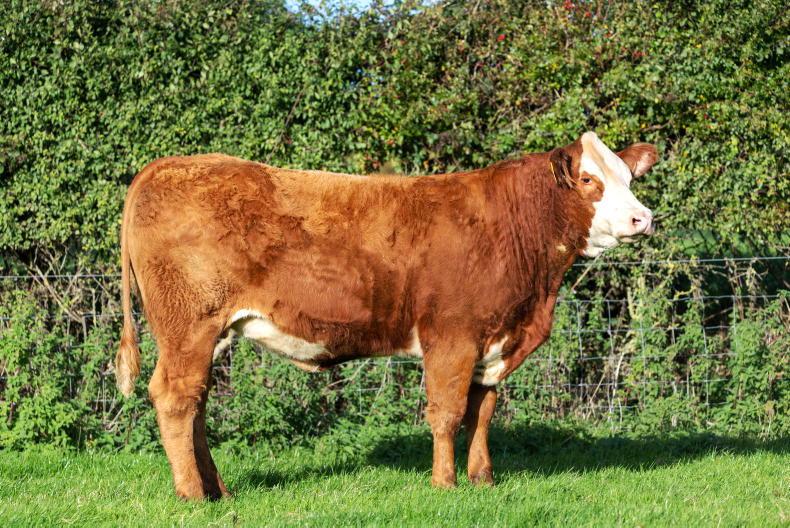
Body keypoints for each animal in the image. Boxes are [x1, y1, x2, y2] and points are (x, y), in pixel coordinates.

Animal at [115, 131, 657, 499]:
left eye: (629, 178)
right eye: (588, 180)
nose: (643, 218)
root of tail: (165, 166)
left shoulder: (494, 343)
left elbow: (482, 414)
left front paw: (482, 479)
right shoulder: (452, 337)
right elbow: (446, 413)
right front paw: (445, 484)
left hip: (211, 332)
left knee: (196, 404)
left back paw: (217, 490)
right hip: (188, 325)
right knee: (175, 399)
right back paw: (193, 495)